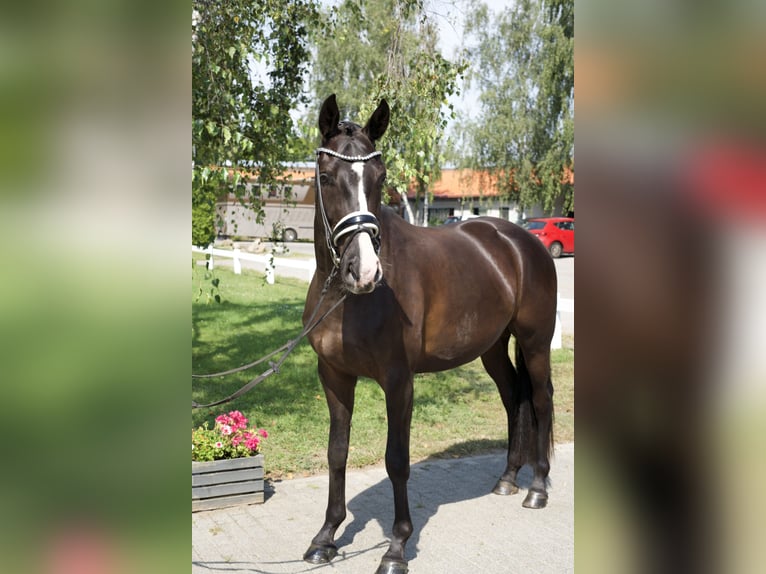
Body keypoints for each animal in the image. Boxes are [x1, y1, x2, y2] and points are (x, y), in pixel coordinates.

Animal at [300, 94, 560, 574]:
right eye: (326, 178)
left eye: (381, 178)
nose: (365, 272)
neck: (345, 300)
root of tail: (521, 240)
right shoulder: (334, 377)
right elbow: (336, 453)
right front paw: (325, 537)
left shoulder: (398, 381)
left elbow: (397, 461)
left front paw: (397, 547)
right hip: (492, 348)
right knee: (513, 395)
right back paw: (507, 479)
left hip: (536, 342)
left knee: (541, 398)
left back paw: (537, 489)